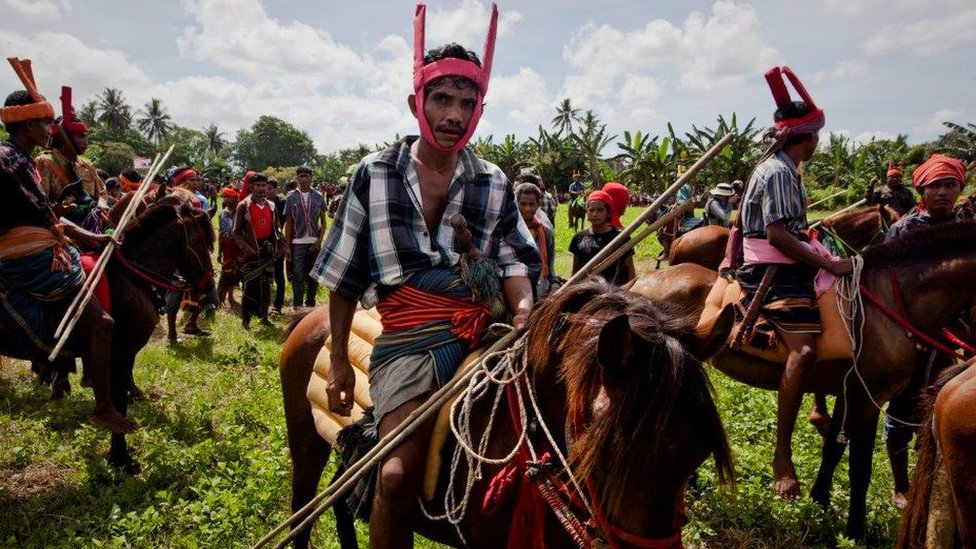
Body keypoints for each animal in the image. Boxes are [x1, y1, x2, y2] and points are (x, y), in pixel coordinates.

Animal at [1, 199, 215, 474]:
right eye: (205, 242)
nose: (208, 285)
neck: (131, 276)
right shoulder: (122, 352)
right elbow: (119, 399)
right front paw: (120, 457)